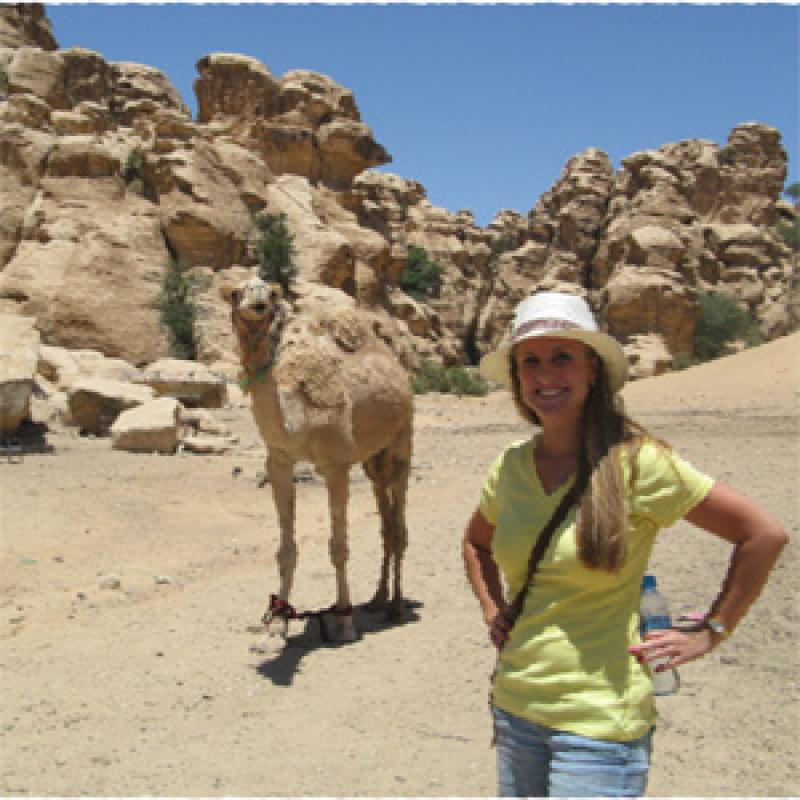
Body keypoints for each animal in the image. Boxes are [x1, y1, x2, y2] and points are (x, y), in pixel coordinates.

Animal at [223, 278, 412, 640]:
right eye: (236, 292)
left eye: (270, 293)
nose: (257, 301)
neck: (297, 420)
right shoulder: (279, 462)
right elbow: (286, 550)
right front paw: (275, 623)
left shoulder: (336, 466)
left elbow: (339, 548)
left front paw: (345, 622)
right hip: (373, 459)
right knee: (384, 517)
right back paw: (377, 599)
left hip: (401, 441)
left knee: (398, 524)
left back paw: (395, 606)